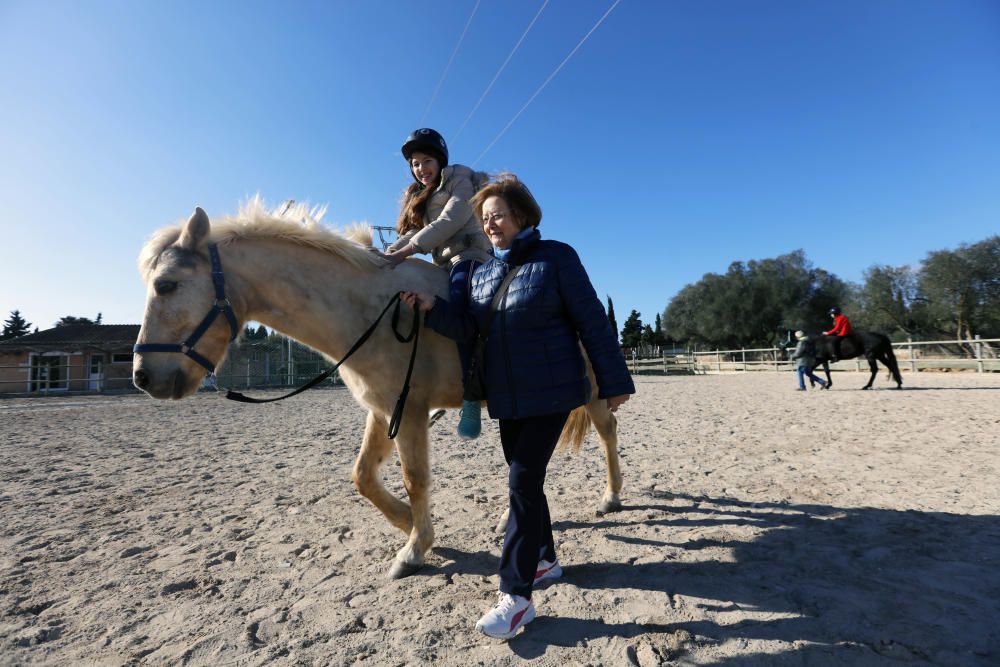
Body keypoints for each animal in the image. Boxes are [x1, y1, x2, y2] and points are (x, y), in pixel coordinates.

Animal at [133, 202, 624, 580]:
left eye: (166, 285)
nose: (143, 376)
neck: (371, 310)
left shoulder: (410, 411)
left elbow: (415, 477)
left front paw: (415, 548)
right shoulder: (383, 409)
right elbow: (363, 476)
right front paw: (407, 523)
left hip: (591, 392)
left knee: (606, 431)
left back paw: (611, 497)